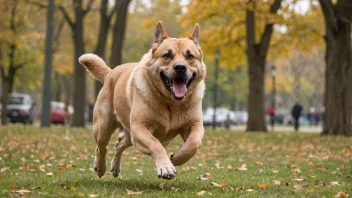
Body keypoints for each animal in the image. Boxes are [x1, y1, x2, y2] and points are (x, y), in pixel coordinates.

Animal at [79, 21, 206, 179]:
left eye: (190, 56)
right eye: (167, 55)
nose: (180, 67)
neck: (170, 102)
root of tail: (111, 72)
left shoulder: (194, 124)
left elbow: (194, 142)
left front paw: (176, 157)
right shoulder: (139, 127)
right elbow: (155, 143)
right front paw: (166, 167)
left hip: (130, 135)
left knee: (119, 144)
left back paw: (115, 168)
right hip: (104, 127)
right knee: (101, 148)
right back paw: (100, 167)